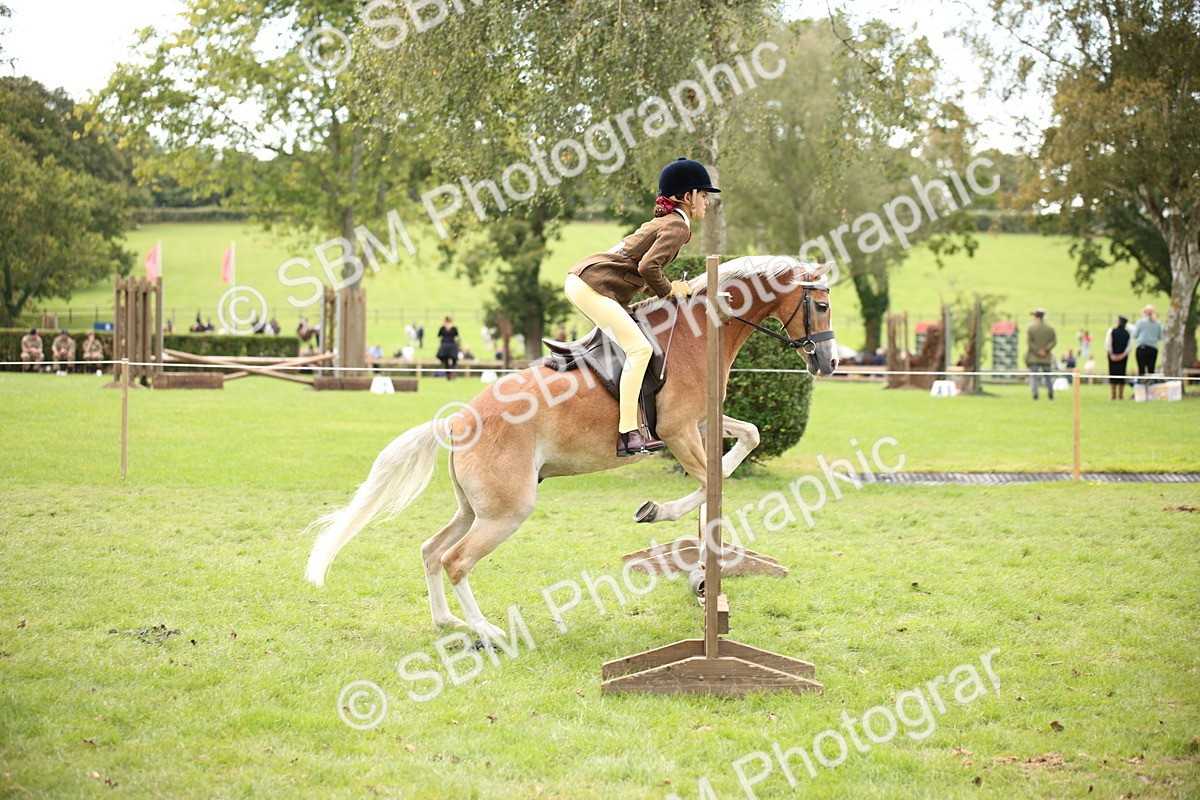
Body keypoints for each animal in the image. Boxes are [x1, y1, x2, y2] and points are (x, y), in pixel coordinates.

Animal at [305, 257, 838, 640]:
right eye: (823, 306)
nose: (830, 363)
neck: (698, 332)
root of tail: (456, 421)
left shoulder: (701, 422)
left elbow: (748, 439)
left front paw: (690, 552)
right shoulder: (678, 430)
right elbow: (713, 483)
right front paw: (672, 528)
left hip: (475, 507)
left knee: (432, 550)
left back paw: (448, 623)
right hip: (508, 511)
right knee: (456, 560)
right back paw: (487, 630)